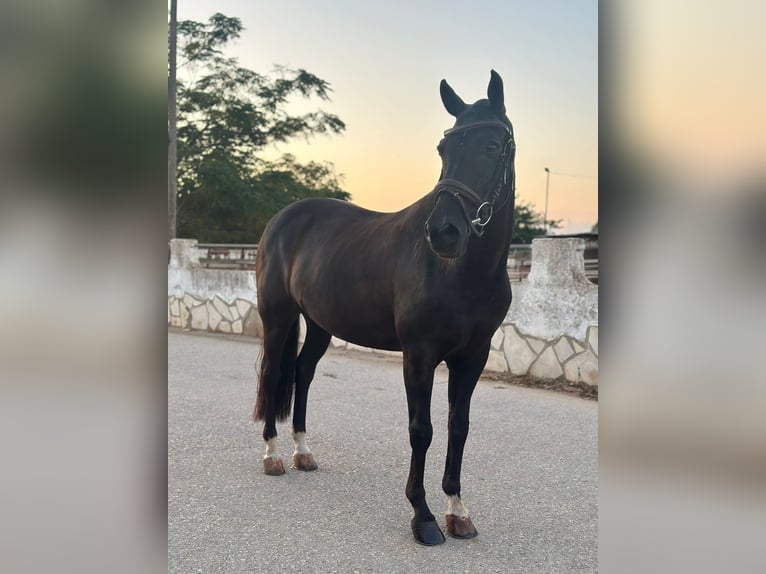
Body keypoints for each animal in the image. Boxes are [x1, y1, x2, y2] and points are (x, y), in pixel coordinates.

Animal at [256, 70, 516, 548]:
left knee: (302, 371)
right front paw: (424, 517)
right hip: (278, 317)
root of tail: (282, 219)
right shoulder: (420, 354)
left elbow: (458, 427)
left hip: (319, 324)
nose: (444, 232)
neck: (461, 271)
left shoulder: (473, 357)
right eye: (443, 149)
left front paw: (458, 511)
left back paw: (303, 451)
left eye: (491, 146)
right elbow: (422, 430)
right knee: (272, 374)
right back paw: (273, 455)